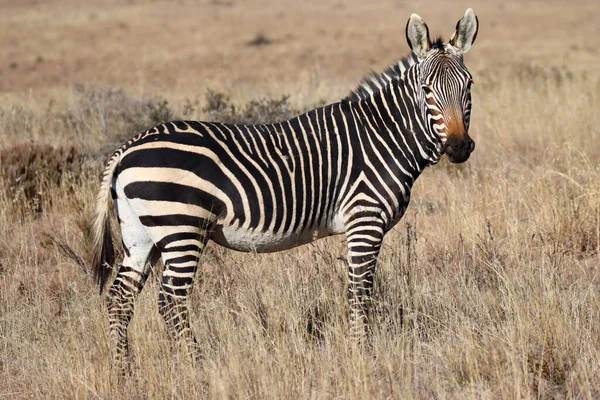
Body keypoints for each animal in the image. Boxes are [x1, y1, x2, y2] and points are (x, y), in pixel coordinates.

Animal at [92, 8, 478, 372]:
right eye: (426, 90)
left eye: (469, 86)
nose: (459, 147)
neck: (384, 135)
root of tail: (127, 148)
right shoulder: (365, 220)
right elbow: (360, 292)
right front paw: (361, 355)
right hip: (181, 227)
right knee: (170, 299)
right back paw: (196, 366)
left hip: (141, 234)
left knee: (120, 298)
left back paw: (123, 371)